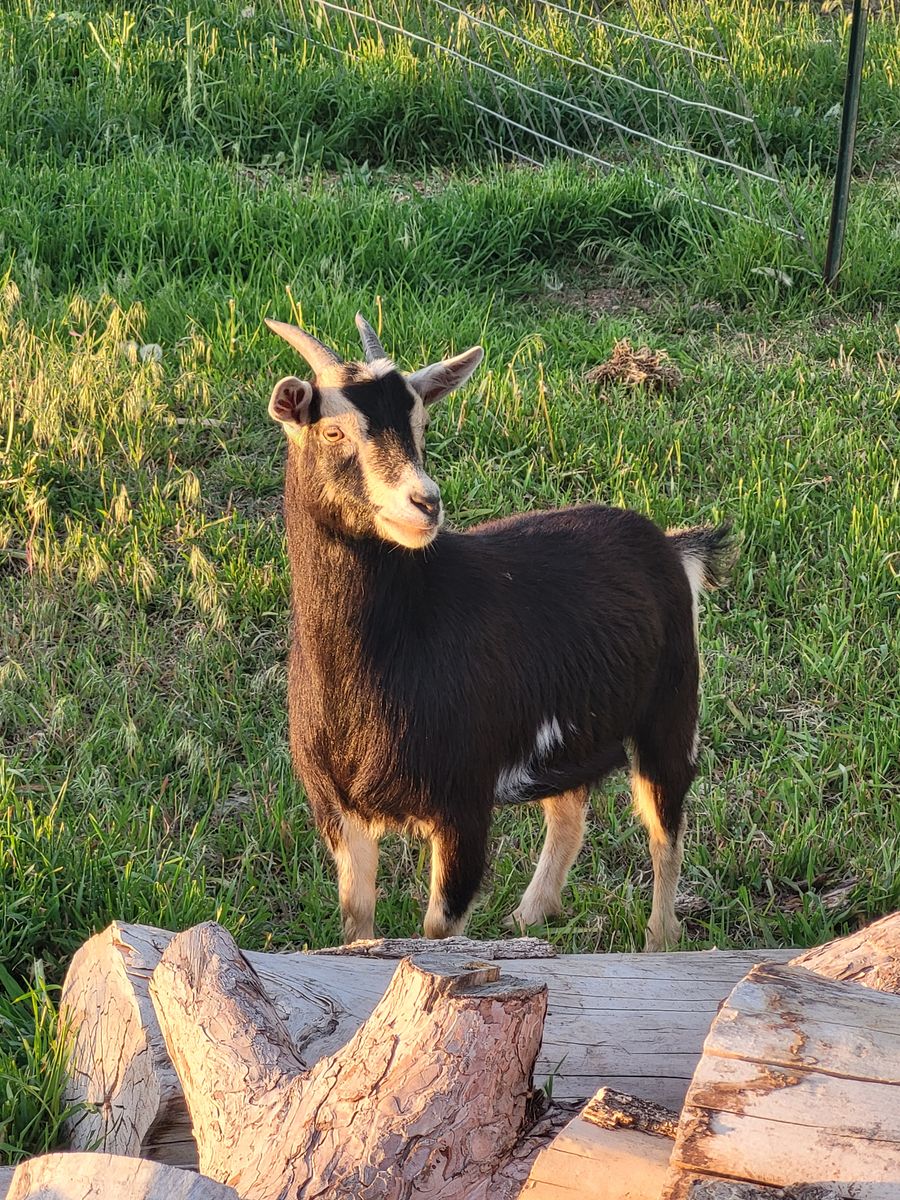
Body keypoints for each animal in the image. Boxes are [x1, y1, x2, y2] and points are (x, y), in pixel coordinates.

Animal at [265, 313, 735, 949]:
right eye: (334, 431)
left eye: (421, 423)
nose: (425, 503)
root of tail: (669, 543)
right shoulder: (338, 809)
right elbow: (357, 924)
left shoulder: (463, 800)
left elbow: (439, 931)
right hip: (573, 733)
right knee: (570, 812)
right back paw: (527, 919)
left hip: (671, 709)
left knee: (666, 829)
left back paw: (657, 943)